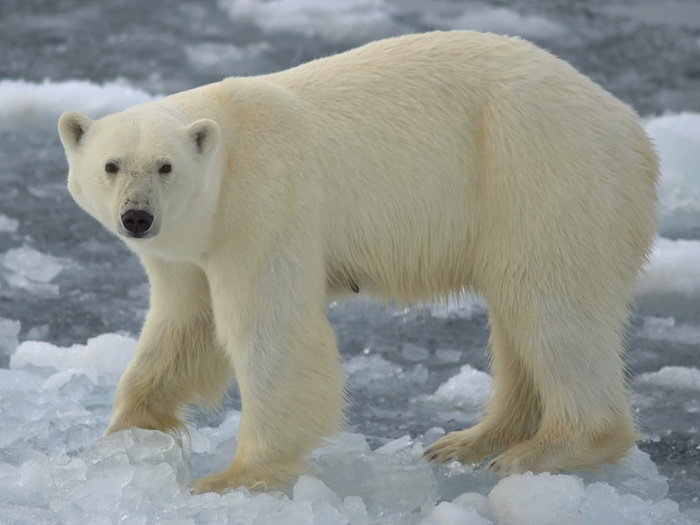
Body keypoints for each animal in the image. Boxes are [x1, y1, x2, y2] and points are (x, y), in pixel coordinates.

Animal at [57, 31, 660, 492]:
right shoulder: (191, 246)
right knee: (518, 315)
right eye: (111, 165)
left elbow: (268, 328)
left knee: (550, 304)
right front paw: (123, 437)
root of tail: (635, 132)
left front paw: (232, 477)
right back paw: (468, 441)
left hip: (537, 168)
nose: (137, 217)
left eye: (165, 166)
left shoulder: (266, 204)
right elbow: (185, 325)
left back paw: (545, 450)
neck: (229, 148)